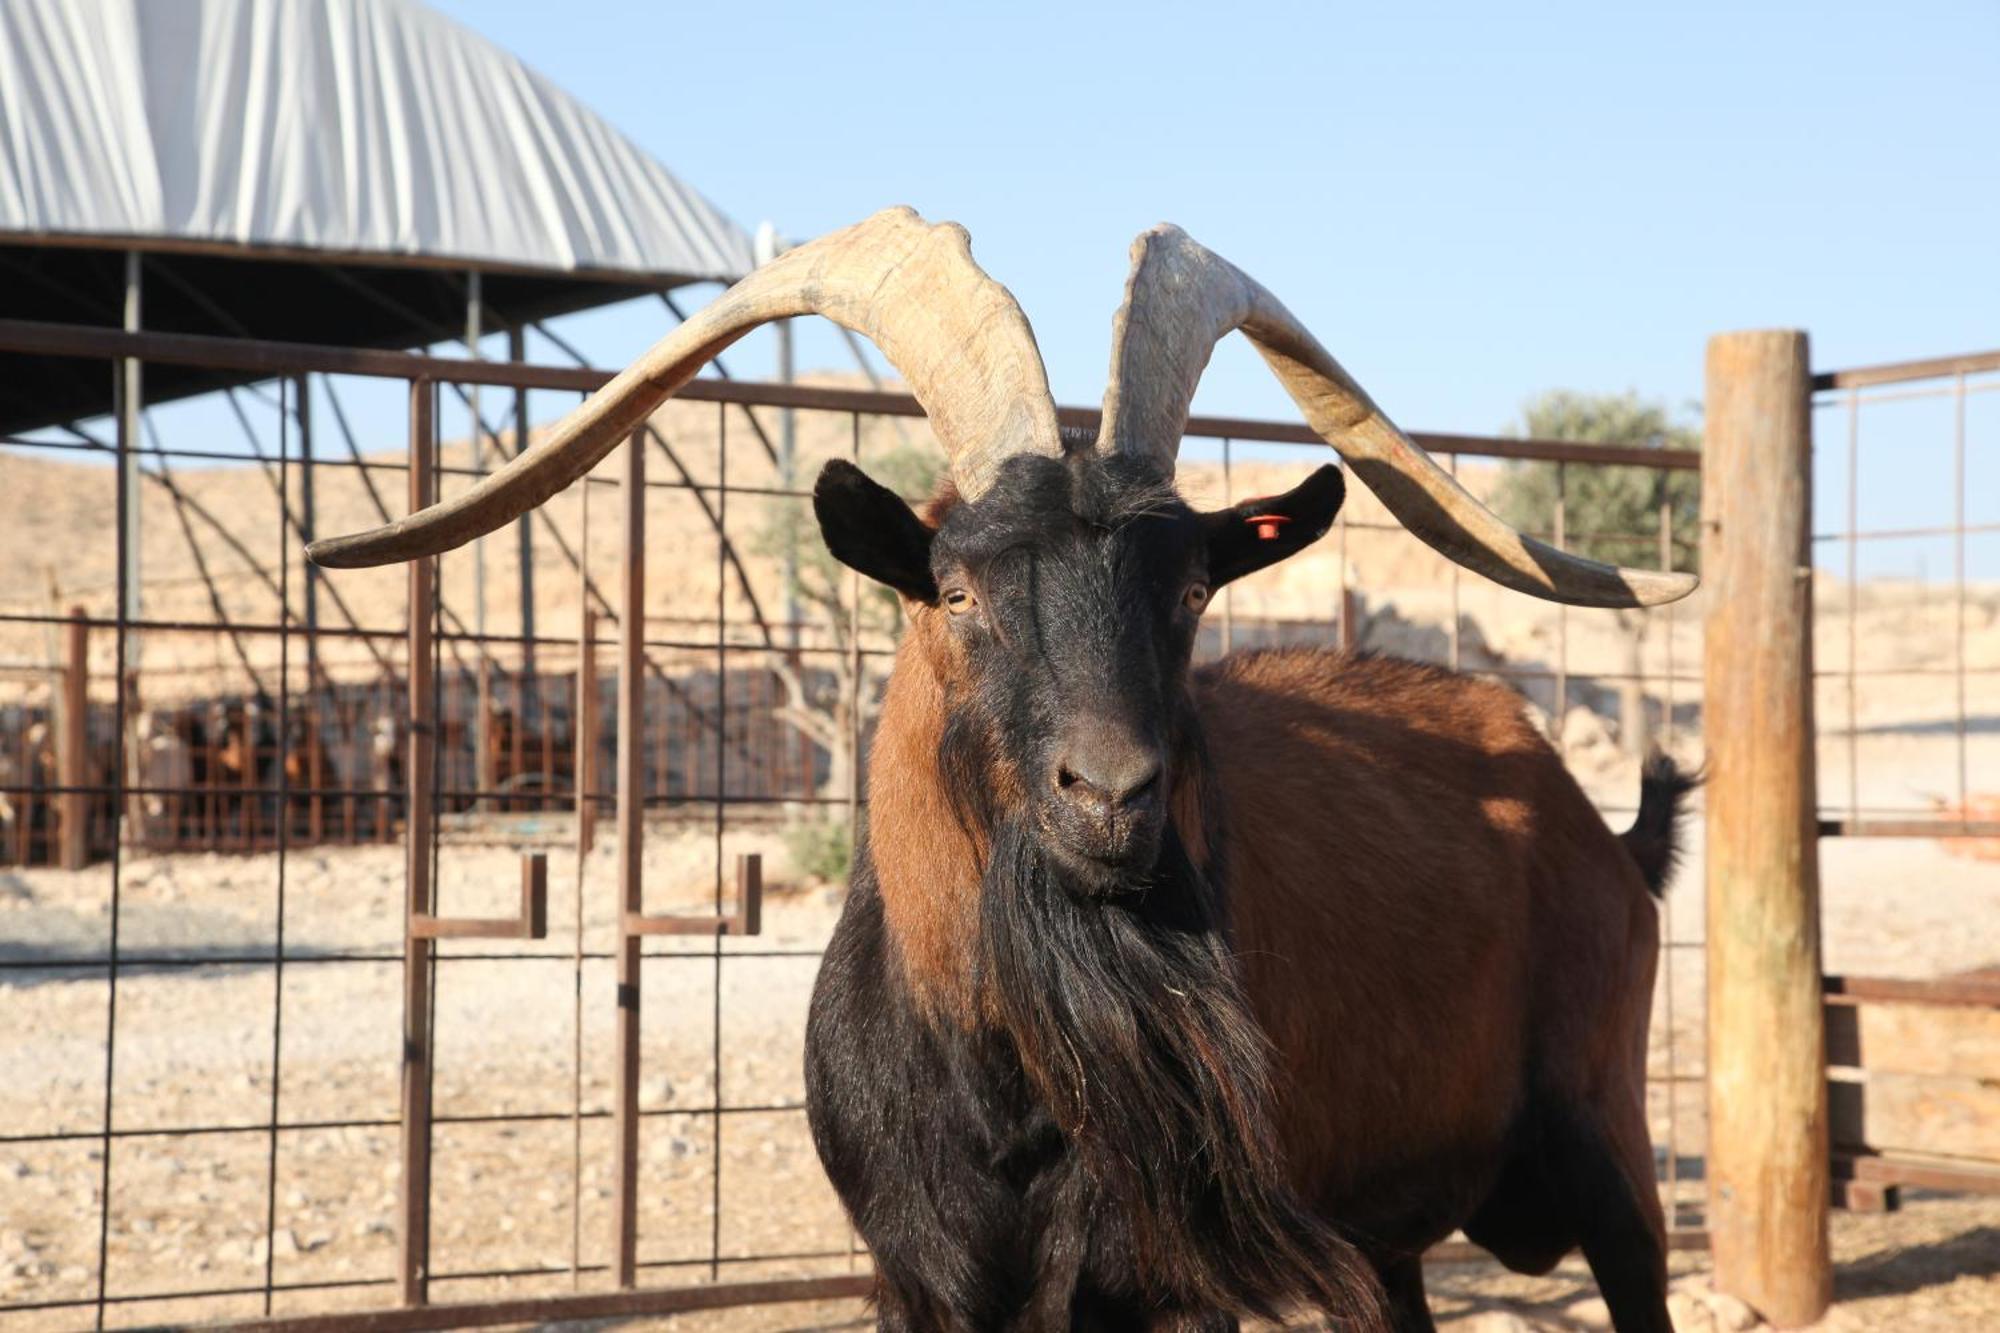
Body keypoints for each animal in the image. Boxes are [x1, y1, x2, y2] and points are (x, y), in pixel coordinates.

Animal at [312, 210, 1704, 1328]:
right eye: (957, 589)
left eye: (1191, 589)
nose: (1112, 797)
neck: (1005, 1086)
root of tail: (1595, 826)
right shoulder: (917, 1278)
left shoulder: (1169, 1286)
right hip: (1391, 1231)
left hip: (1607, 1146)